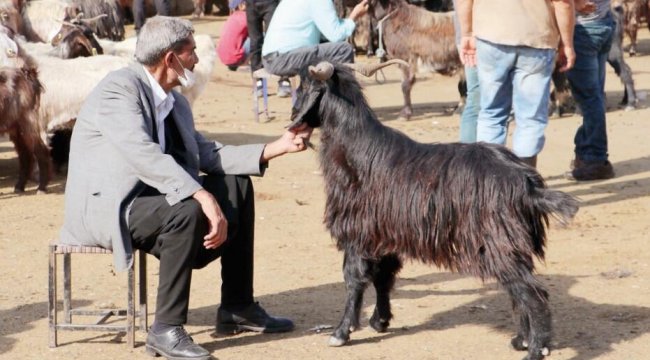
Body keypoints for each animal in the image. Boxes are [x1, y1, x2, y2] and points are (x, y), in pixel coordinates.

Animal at [288, 59, 576, 360]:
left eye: (304, 85)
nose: (293, 115)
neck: (356, 150)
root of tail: (528, 184)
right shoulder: (385, 236)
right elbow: (383, 277)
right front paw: (380, 320)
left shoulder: (358, 232)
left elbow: (354, 278)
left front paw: (342, 332)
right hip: (511, 244)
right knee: (518, 290)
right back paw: (520, 340)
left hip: (499, 243)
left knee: (533, 293)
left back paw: (535, 349)